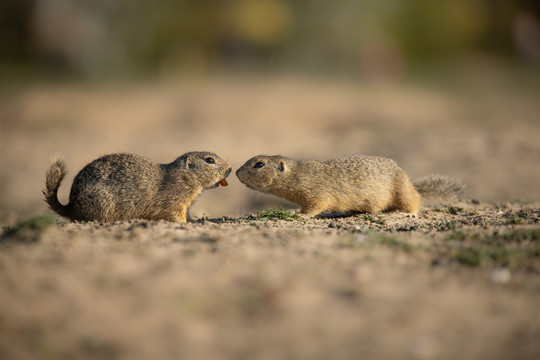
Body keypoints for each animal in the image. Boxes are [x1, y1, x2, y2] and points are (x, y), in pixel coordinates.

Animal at [43, 152, 230, 222]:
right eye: (210, 160)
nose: (230, 168)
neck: (184, 177)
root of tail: (71, 207)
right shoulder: (173, 203)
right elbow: (176, 216)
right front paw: (185, 224)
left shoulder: (186, 205)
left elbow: (188, 215)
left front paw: (196, 221)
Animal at [236, 154, 464, 217]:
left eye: (259, 164)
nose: (236, 173)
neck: (299, 174)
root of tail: (411, 182)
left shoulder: (316, 194)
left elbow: (314, 207)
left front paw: (300, 215)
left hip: (403, 192)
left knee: (415, 201)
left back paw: (410, 213)